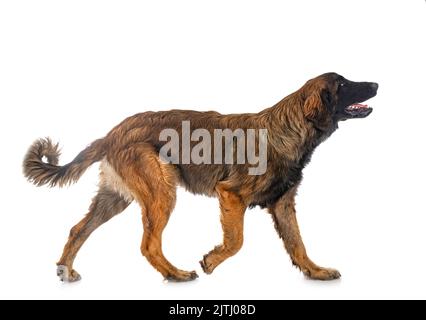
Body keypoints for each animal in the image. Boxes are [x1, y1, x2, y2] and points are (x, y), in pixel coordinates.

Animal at [22, 73, 376, 282]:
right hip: (161, 194)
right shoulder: (231, 194)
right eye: (343, 85)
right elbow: (236, 241)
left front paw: (315, 271)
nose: (375, 84)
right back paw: (175, 274)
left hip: (115, 198)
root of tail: (112, 133)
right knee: (148, 244)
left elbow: (298, 244)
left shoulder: (283, 204)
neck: (288, 128)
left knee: (78, 229)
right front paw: (211, 261)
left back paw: (65, 269)